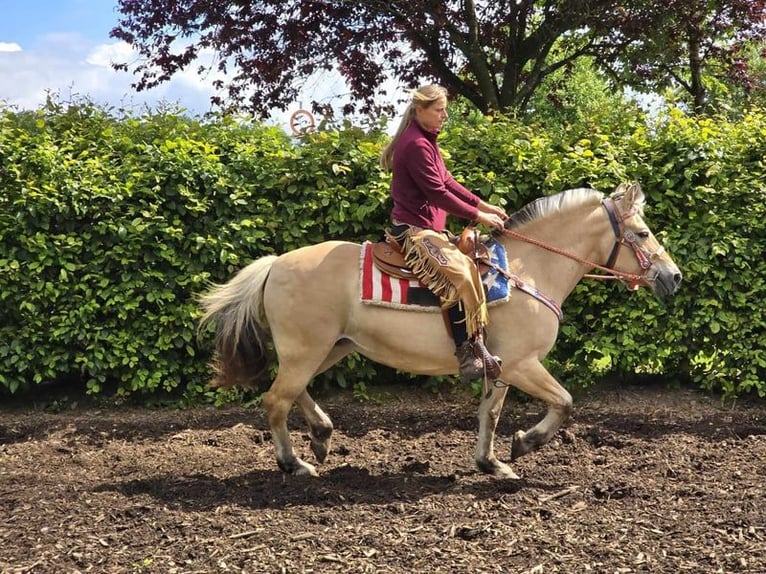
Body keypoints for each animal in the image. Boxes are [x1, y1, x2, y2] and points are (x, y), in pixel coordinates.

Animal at [198, 182, 684, 480]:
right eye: (642, 233)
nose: (673, 276)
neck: (528, 269)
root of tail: (275, 264)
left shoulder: (502, 368)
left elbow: (490, 414)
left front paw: (491, 463)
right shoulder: (524, 364)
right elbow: (564, 402)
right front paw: (525, 443)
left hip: (329, 347)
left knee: (291, 391)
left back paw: (320, 434)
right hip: (308, 349)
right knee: (276, 399)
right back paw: (294, 463)